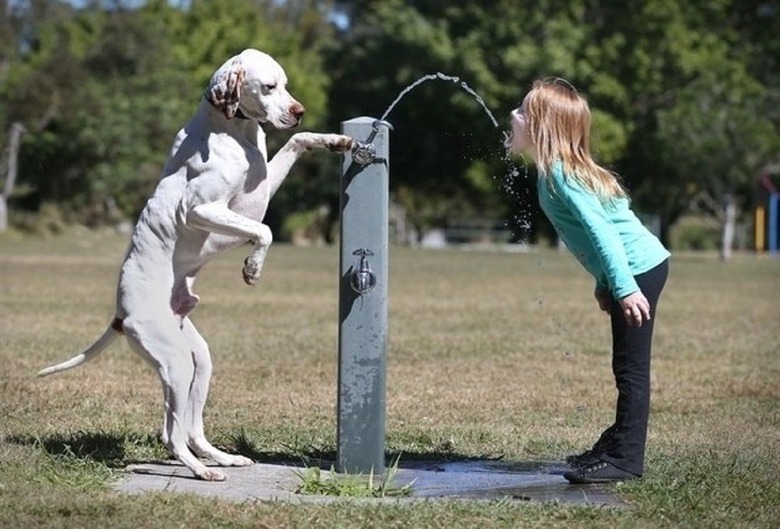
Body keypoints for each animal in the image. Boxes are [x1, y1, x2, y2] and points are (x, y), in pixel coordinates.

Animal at [36, 47, 354, 480]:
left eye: (286, 84)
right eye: (269, 86)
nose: (299, 110)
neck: (233, 130)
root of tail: (120, 314)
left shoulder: (261, 188)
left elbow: (297, 141)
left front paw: (335, 141)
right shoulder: (203, 208)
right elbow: (265, 230)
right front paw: (252, 268)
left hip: (198, 361)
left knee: (190, 428)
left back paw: (222, 458)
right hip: (175, 363)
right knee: (171, 434)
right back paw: (202, 471)